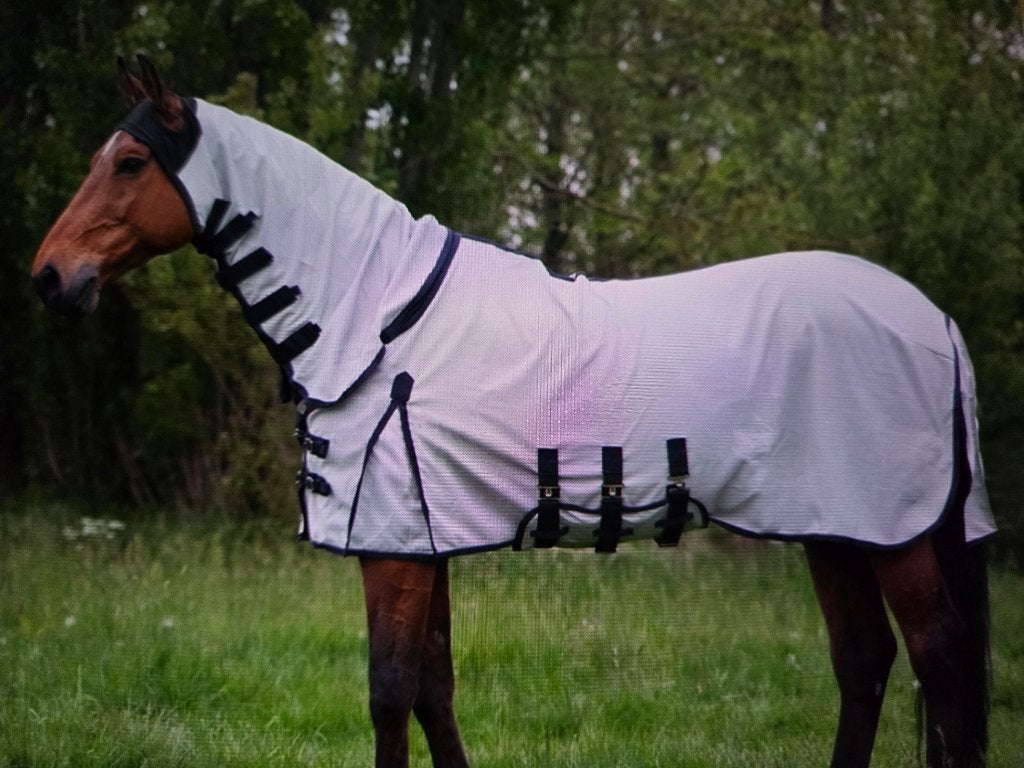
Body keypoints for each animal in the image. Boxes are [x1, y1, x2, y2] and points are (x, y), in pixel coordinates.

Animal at [32, 56, 994, 768]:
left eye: (129, 163)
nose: (50, 276)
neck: (374, 313)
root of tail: (934, 320)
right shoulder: (421, 540)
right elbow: (433, 685)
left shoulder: (392, 547)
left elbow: (390, 692)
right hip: (835, 528)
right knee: (865, 662)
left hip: (892, 531)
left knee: (941, 660)